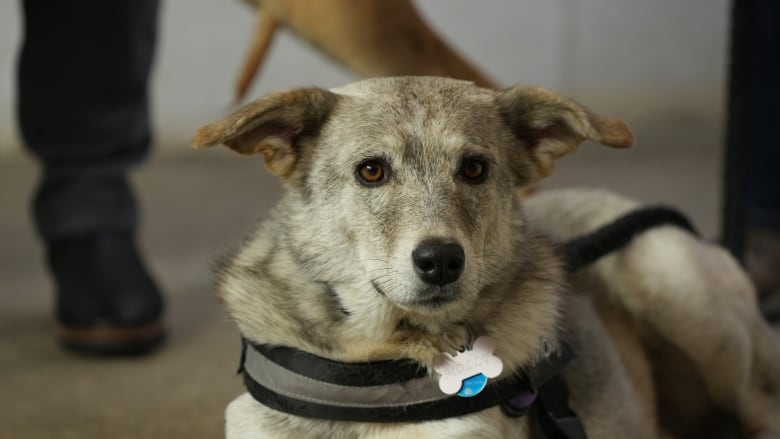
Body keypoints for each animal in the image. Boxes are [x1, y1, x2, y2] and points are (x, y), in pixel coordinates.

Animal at [193, 77, 780, 438]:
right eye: (371, 171)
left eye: (475, 169)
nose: (440, 261)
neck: (380, 361)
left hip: (683, 291)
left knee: (760, 408)